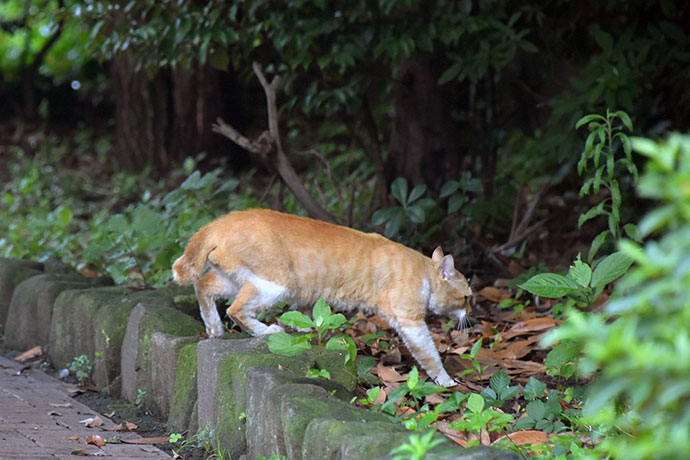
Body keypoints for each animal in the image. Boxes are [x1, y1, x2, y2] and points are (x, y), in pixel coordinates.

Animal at [175, 210, 470, 386]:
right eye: (467, 297)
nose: (471, 311)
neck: (422, 270)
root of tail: (221, 222)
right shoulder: (409, 320)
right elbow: (429, 354)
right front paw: (445, 380)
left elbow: (306, 315)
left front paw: (305, 328)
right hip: (271, 284)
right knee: (235, 310)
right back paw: (265, 331)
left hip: (232, 279)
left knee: (203, 286)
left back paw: (214, 328)